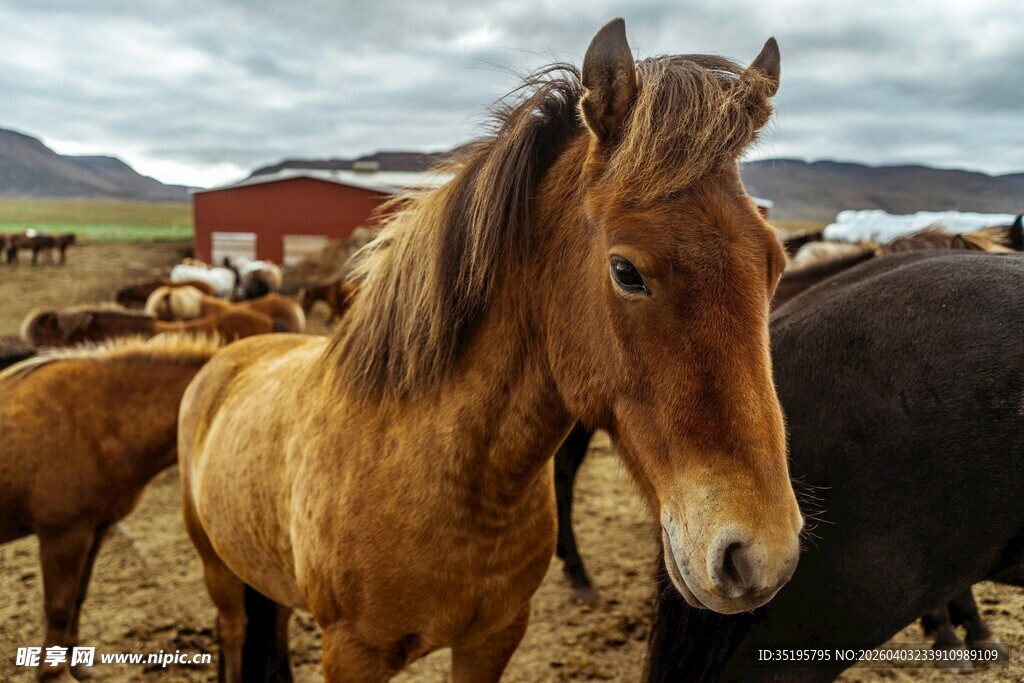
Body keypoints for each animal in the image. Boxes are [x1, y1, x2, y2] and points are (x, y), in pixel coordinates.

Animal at [0, 335, 223, 682]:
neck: (98, 420)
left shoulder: (95, 530)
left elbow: (77, 597)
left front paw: (76, 665)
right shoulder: (62, 537)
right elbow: (58, 606)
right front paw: (55, 673)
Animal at [178, 20, 802, 681]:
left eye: (775, 263)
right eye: (626, 271)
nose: (760, 557)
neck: (457, 484)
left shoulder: (493, 638)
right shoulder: (353, 654)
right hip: (217, 570)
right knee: (235, 630)